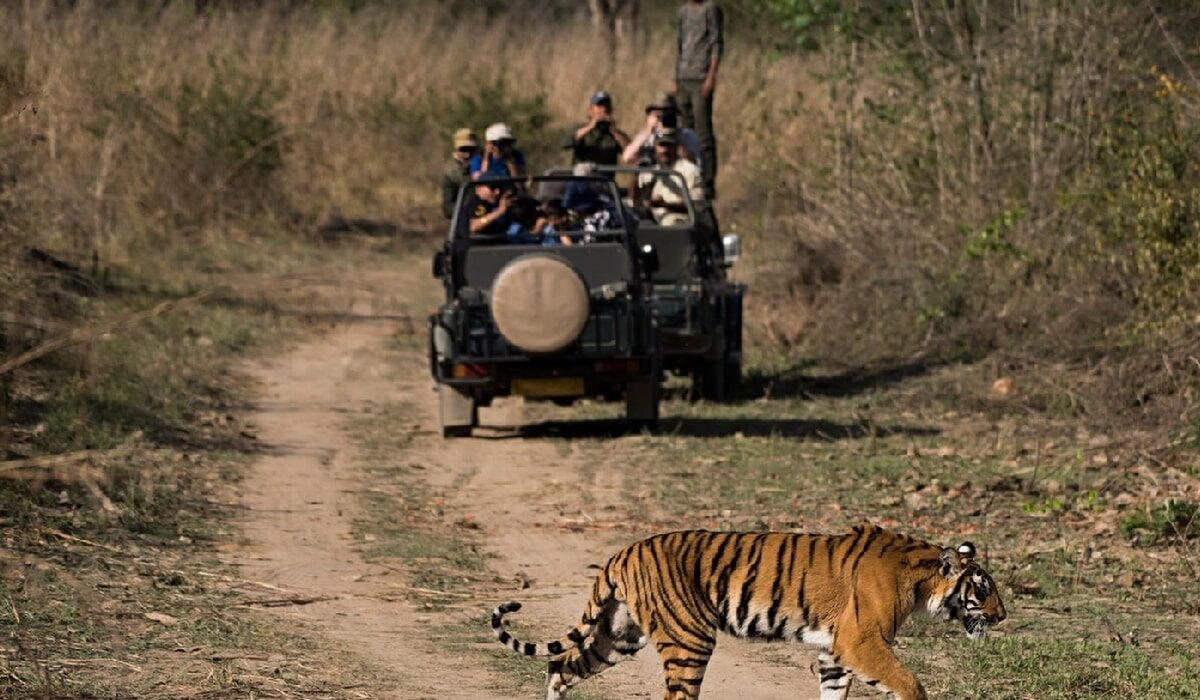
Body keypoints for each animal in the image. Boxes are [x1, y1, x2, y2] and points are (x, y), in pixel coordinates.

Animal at [492, 525, 1008, 700]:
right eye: (983, 589)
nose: (1004, 616)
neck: (920, 579)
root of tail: (622, 552)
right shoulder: (862, 642)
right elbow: (911, 685)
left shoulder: (835, 652)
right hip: (688, 639)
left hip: (618, 635)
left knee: (561, 666)